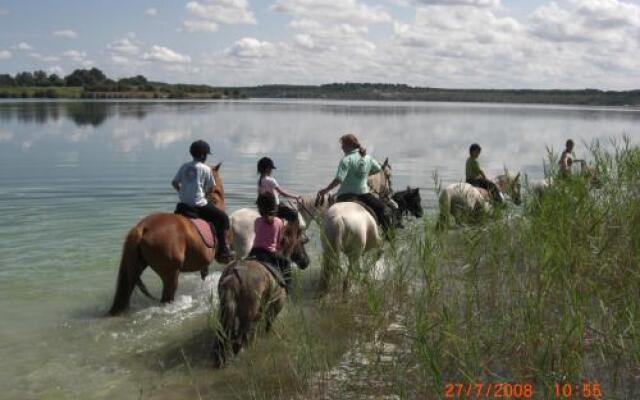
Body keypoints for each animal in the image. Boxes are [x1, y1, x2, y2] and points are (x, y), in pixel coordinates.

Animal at [212, 220, 310, 368]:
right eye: (301, 242)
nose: (306, 261)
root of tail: (233, 276)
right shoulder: (277, 304)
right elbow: (268, 324)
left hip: (227, 313)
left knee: (223, 339)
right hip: (248, 313)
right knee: (238, 341)